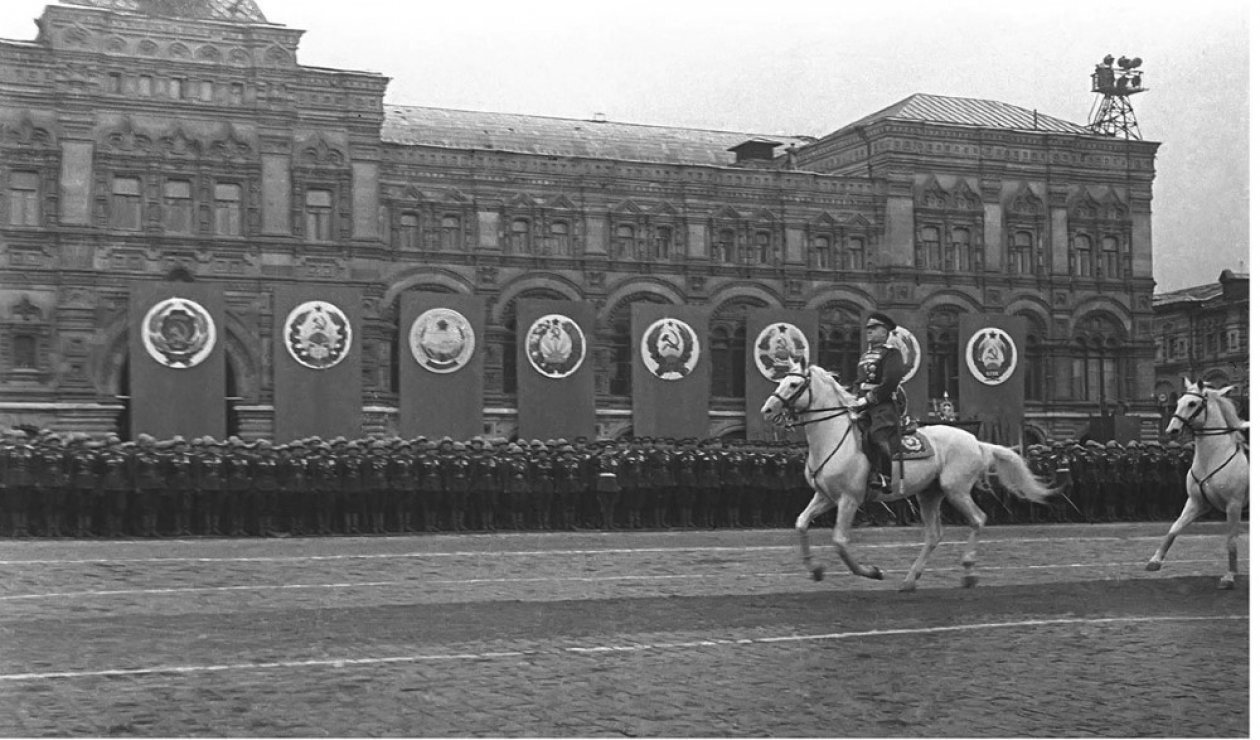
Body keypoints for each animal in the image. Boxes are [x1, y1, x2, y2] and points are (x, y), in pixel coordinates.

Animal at [761, 363, 1058, 592]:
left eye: (793, 384)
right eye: (781, 380)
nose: (767, 410)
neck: (833, 437)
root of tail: (976, 441)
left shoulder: (849, 499)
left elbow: (840, 542)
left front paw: (872, 571)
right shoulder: (824, 496)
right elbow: (801, 523)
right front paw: (815, 569)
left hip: (956, 490)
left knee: (978, 519)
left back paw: (968, 572)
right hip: (929, 494)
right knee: (934, 535)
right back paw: (910, 580)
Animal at [1144, 383, 1249, 589]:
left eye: (1192, 403)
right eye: (1178, 402)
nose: (1172, 430)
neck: (1214, 456)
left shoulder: (1234, 505)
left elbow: (1231, 540)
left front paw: (1229, 576)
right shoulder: (1197, 502)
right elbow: (1174, 528)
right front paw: (1155, 560)